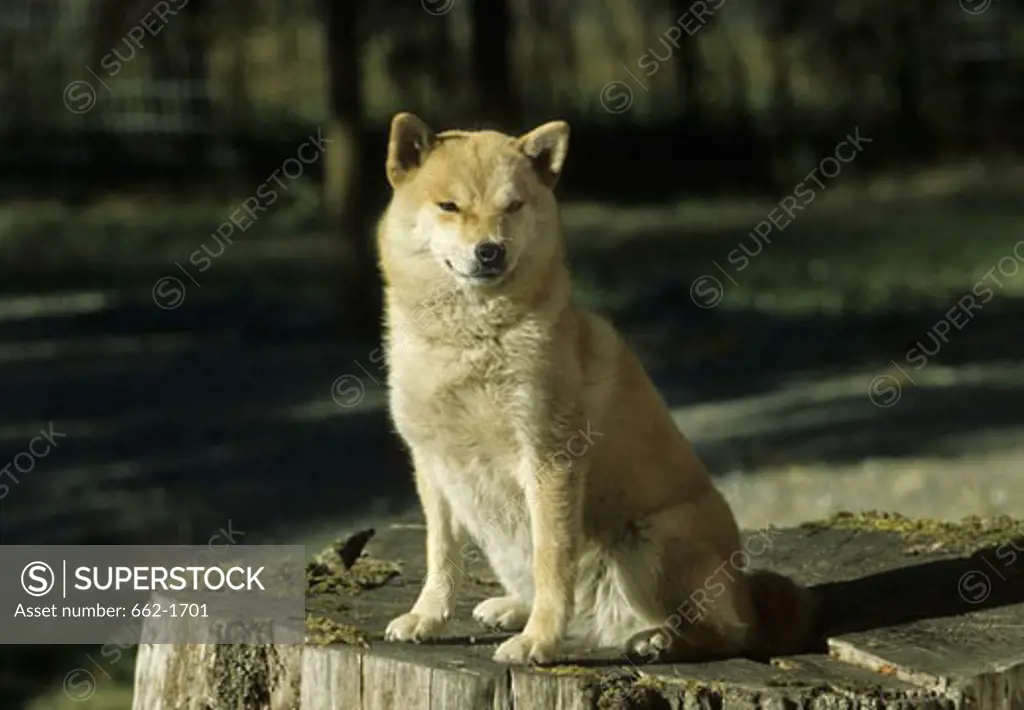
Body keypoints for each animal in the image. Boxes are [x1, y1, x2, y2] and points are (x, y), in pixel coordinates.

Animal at [376, 112, 815, 663]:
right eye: (449, 206)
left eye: (512, 206)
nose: (490, 251)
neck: (468, 341)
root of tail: (745, 597)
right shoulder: (433, 466)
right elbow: (441, 555)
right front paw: (428, 618)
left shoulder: (549, 460)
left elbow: (551, 561)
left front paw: (539, 642)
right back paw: (514, 608)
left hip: (650, 544)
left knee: (723, 635)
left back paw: (656, 640)